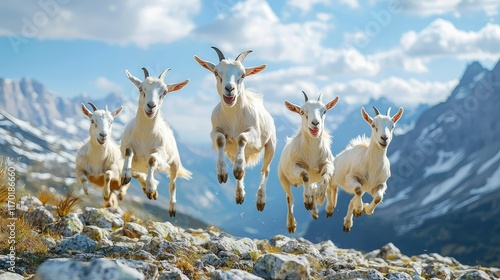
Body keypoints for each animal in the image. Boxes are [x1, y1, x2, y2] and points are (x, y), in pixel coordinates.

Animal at [121, 67, 191, 217]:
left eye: (164, 92)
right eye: (141, 88)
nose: (151, 106)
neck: (144, 136)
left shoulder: (160, 152)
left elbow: (152, 159)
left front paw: (151, 188)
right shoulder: (126, 149)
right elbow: (129, 153)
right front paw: (125, 175)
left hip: (174, 163)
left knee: (173, 183)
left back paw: (172, 208)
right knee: (138, 172)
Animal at [193, 47, 276, 210]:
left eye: (243, 75)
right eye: (216, 72)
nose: (229, 88)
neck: (234, 119)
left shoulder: (254, 135)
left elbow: (242, 138)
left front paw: (237, 169)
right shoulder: (216, 130)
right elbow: (220, 139)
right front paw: (222, 173)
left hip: (271, 145)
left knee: (266, 170)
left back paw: (260, 199)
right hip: (231, 153)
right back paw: (239, 194)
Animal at [280, 91, 338, 232]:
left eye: (324, 111)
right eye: (302, 111)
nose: (315, 123)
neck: (311, 154)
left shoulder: (327, 163)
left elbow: (327, 176)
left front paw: (320, 196)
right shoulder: (294, 166)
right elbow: (305, 174)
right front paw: (307, 200)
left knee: (314, 188)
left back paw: (319, 208)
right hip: (283, 178)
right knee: (289, 198)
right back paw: (291, 224)